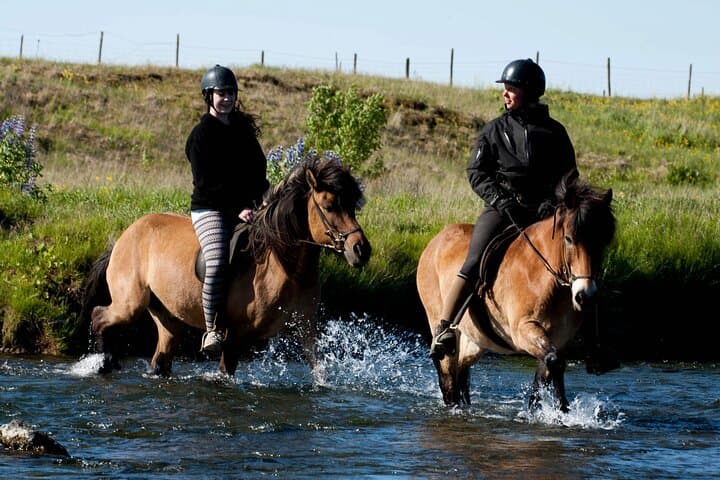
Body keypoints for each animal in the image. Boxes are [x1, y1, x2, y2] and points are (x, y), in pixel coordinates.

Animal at [83, 154, 371, 376]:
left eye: (353, 206)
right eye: (329, 206)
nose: (361, 250)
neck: (285, 266)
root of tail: (125, 236)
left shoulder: (306, 329)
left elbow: (318, 370)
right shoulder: (235, 337)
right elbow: (225, 373)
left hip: (167, 316)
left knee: (160, 359)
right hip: (130, 304)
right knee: (99, 316)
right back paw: (104, 363)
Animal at [416, 174, 615, 410]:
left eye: (602, 243)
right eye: (569, 239)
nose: (585, 296)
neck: (547, 280)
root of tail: (434, 242)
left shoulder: (559, 339)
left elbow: (549, 370)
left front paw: (553, 410)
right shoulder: (523, 329)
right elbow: (554, 363)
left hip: (475, 340)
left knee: (461, 370)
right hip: (441, 322)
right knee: (448, 377)